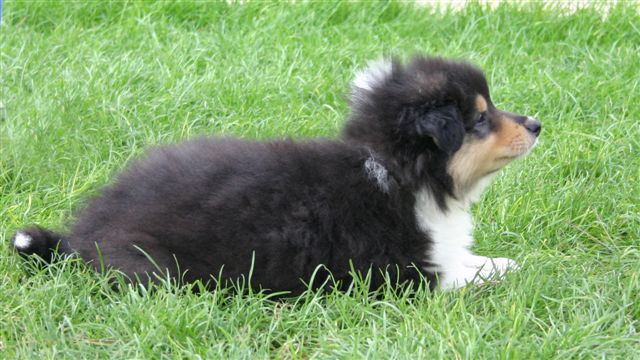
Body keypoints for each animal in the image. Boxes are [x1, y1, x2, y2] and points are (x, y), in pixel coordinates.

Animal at [11, 56, 540, 292]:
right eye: (479, 119)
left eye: (489, 108)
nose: (536, 124)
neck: (397, 172)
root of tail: (82, 234)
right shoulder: (398, 270)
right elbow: (456, 271)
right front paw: (506, 269)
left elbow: (464, 256)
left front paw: (501, 260)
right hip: (161, 268)